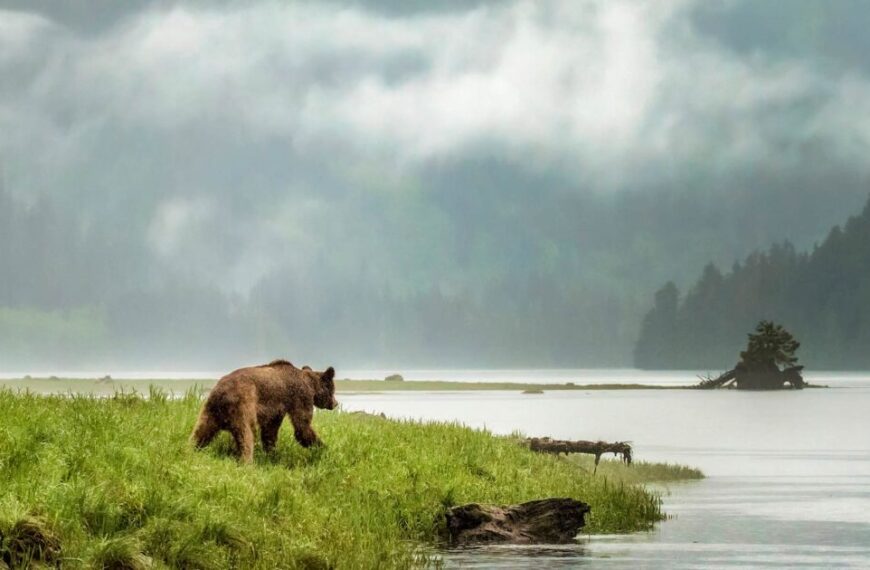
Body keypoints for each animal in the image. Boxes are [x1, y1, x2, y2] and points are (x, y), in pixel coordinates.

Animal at [191, 359, 338, 463]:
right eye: (332, 389)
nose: (335, 403)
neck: (310, 384)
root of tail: (221, 393)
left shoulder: (276, 409)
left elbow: (270, 431)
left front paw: (272, 454)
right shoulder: (299, 397)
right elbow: (302, 427)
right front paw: (324, 448)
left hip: (210, 411)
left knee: (200, 432)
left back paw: (192, 449)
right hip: (243, 405)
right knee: (247, 435)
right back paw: (247, 462)